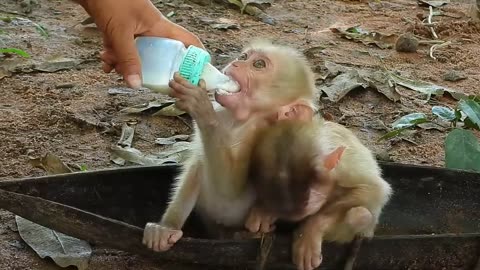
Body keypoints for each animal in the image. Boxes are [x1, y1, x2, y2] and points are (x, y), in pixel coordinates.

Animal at [141, 39, 316, 251]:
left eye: (258, 64)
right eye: (244, 57)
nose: (236, 63)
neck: (239, 121)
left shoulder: (259, 132)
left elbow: (231, 190)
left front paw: (200, 105)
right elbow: (196, 167)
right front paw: (167, 227)